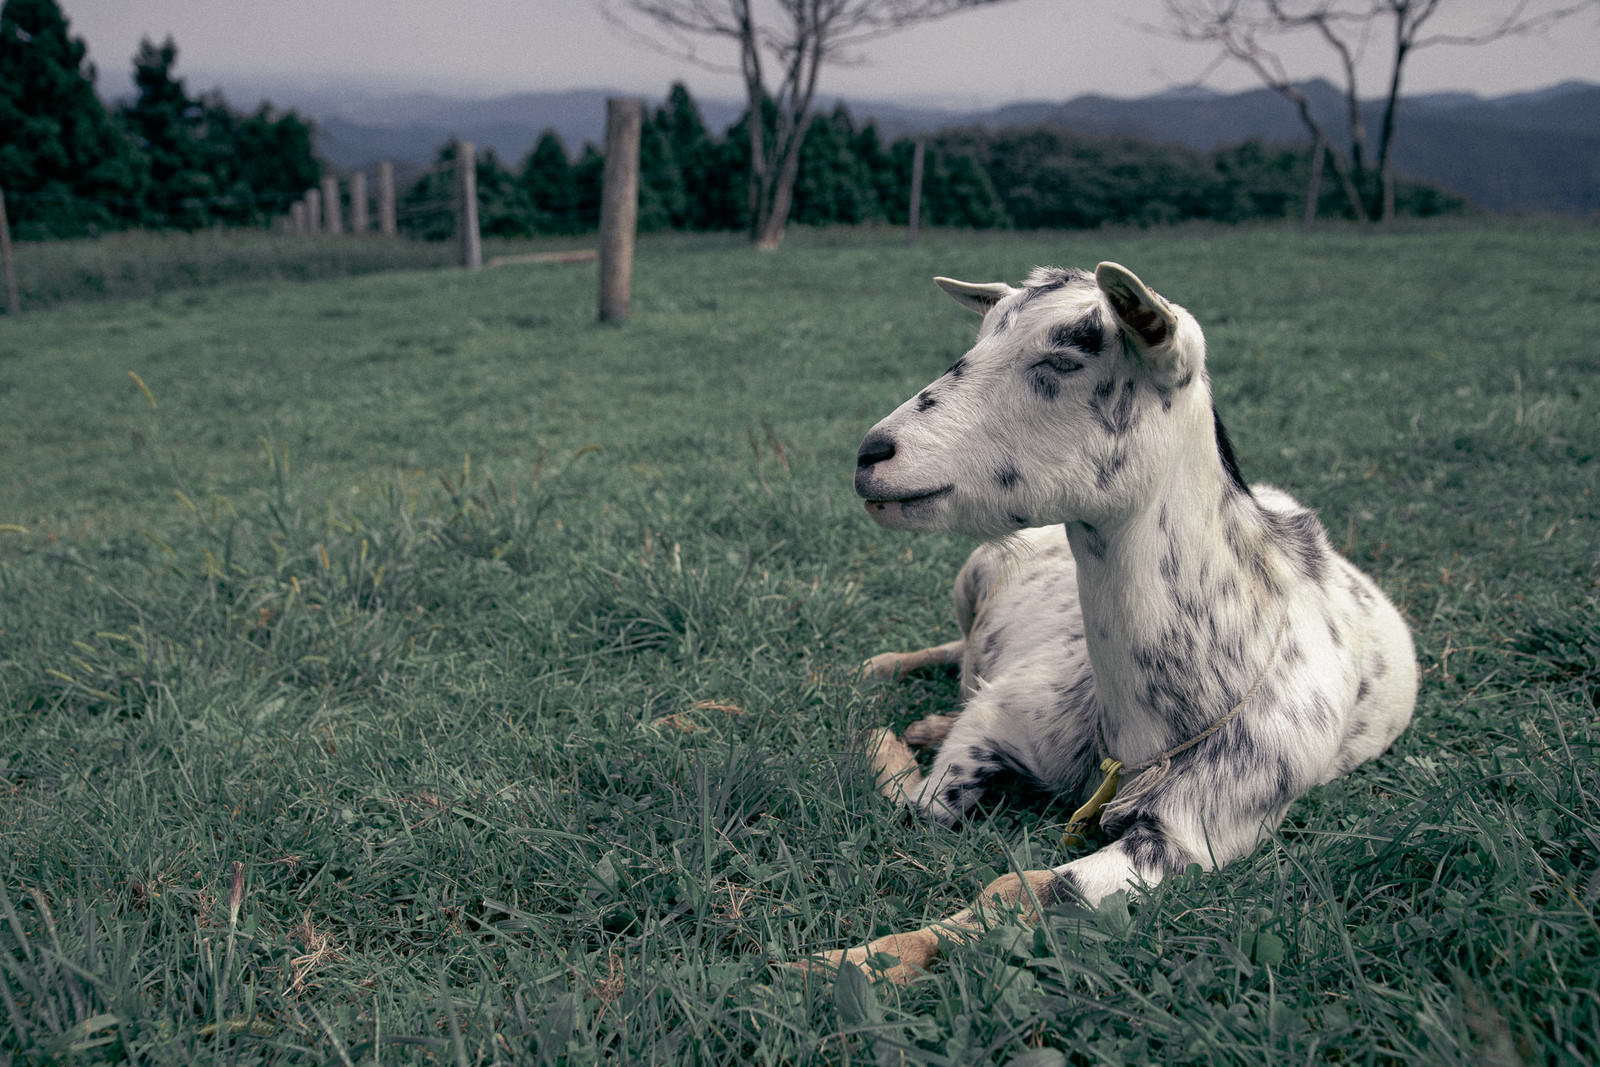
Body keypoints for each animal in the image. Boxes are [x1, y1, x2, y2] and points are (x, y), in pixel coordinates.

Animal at [812, 260, 1414, 985]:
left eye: (1064, 359)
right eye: (981, 337)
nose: (871, 454)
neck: (1143, 730)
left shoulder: (1196, 835)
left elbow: (1020, 887)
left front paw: (848, 964)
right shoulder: (1004, 713)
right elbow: (926, 804)